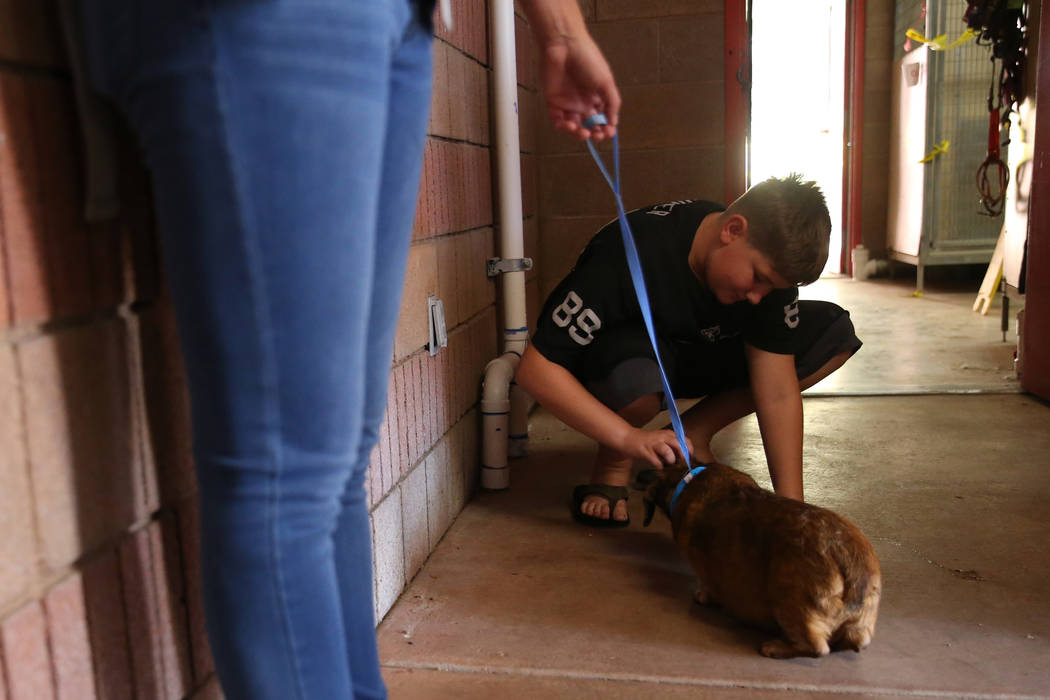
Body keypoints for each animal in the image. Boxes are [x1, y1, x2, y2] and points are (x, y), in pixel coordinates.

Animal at [642, 461, 881, 659]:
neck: (686, 478)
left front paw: (703, 597)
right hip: (859, 625)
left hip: (788, 600)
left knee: (817, 647)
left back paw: (774, 647)